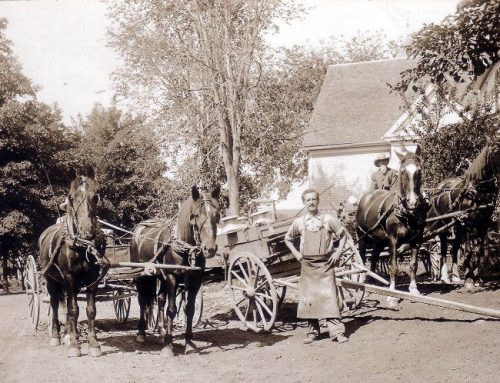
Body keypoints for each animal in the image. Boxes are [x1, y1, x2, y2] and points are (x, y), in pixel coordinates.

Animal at [39, 170, 105, 358]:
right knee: (55, 303)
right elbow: (73, 309)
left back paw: (68, 335)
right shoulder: (69, 278)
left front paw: (93, 343)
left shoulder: (93, 279)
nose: (87, 231)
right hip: (51, 280)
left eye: (95, 196)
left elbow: (90, 310)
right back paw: (56, 336)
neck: (82, 246)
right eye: (71, 197)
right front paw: (75, 345)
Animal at [131, 186, 221, 356]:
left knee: (160, 300)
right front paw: (168, 345)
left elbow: (189, 309)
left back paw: (161, 332)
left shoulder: (195, 280)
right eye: (195, 215)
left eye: (217, 214)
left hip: (160, 276)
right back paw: (141, 333)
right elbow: (171, 310)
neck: (186, 248)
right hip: (141, 276)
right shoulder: (172, 277)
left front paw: (189, 342)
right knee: (143, 300)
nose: (210, 248)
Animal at [356, 150, 430, 306]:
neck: (406, 213)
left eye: (419, 170)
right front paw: (392, 294)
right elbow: (393, 266)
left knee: (374, 258)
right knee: (362, 258)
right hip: (362, 236)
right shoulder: (393, 239)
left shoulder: (417, 239)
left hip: (379, 240)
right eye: (403, 172)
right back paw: (363, 283)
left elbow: (413, 264)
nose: (412, 202)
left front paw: (414, 289)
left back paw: (372, 281)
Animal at [426, 140, 500, 290]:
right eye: (496, 151)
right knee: (444, 248)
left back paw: (455, 275)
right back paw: (444, 277)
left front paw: (476, 278)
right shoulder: (469, 223)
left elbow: (479, 250)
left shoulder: (483, 223)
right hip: (444, 224)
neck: (477, 190)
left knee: (454, 247)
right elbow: (468, 250)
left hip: (457, 224)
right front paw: (469, 280)